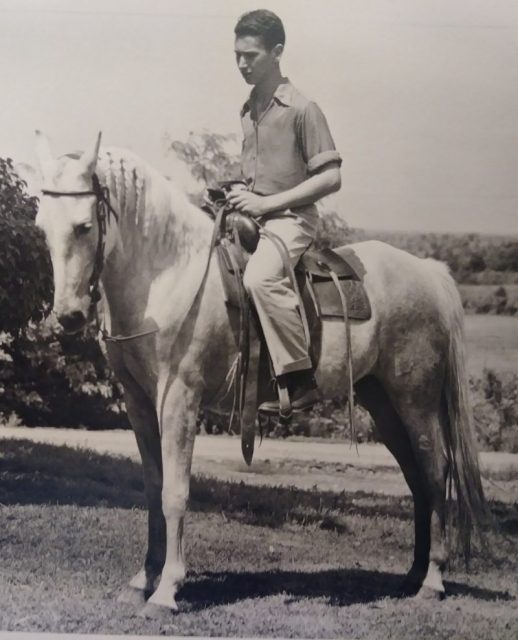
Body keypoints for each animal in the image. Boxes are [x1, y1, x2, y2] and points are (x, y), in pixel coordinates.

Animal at [30, 131, 490, 616]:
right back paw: (413, 574)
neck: (169, 274)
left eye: (84, 226)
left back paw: (433, 580)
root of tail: (429, 270)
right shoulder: (139, 402)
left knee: (436, 472)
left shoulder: (179, 399)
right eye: (42, 225)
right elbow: (153, 489)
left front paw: (167, 589)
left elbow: (175, 492)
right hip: (381, 402)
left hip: (415, 399)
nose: (69, 316)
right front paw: (143, 579)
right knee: (417, 480)